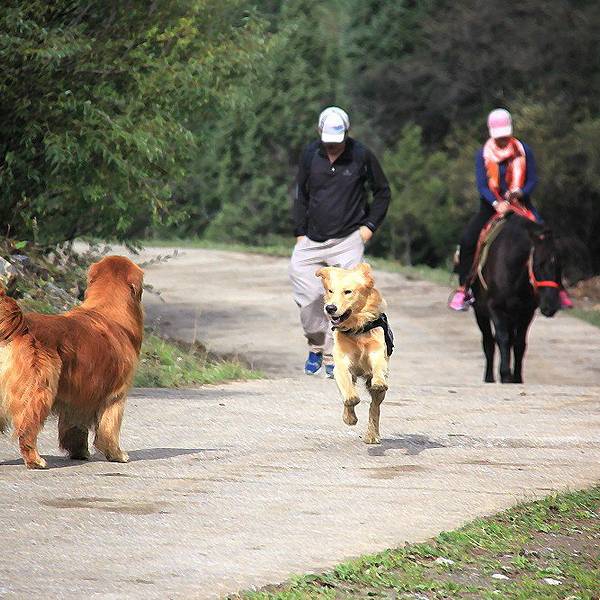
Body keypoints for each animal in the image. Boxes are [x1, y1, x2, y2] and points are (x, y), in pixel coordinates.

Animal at [0, 256, 144, 469]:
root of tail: (21, 324)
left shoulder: (77, 397)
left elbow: (75, 429)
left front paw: (79, 453)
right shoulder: (115, 396)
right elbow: (109, 430)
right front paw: (117, 454)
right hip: (40, 391)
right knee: (26, 428)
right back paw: (35, 460)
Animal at [316, 263, 393, 444]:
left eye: (348, 292)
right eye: (330, 291)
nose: (330, 308)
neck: (356, 329)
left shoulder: (377, 351)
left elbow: (378, 366)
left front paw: (379, 381)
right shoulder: (341, 365)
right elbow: (348, 393)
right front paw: (350, 414)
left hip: (379, 394)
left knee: (374, 408)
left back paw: (372, 434)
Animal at [471, 213, 562, 383]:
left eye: (559, 266)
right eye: (539, 264)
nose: (550, 306)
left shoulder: (526, 312)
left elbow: (519, 343)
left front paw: (517, 377)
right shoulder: (495, 308)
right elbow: (502, 338)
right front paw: (505, 374)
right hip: (480, 312)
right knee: (488, 341)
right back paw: (489, 377)